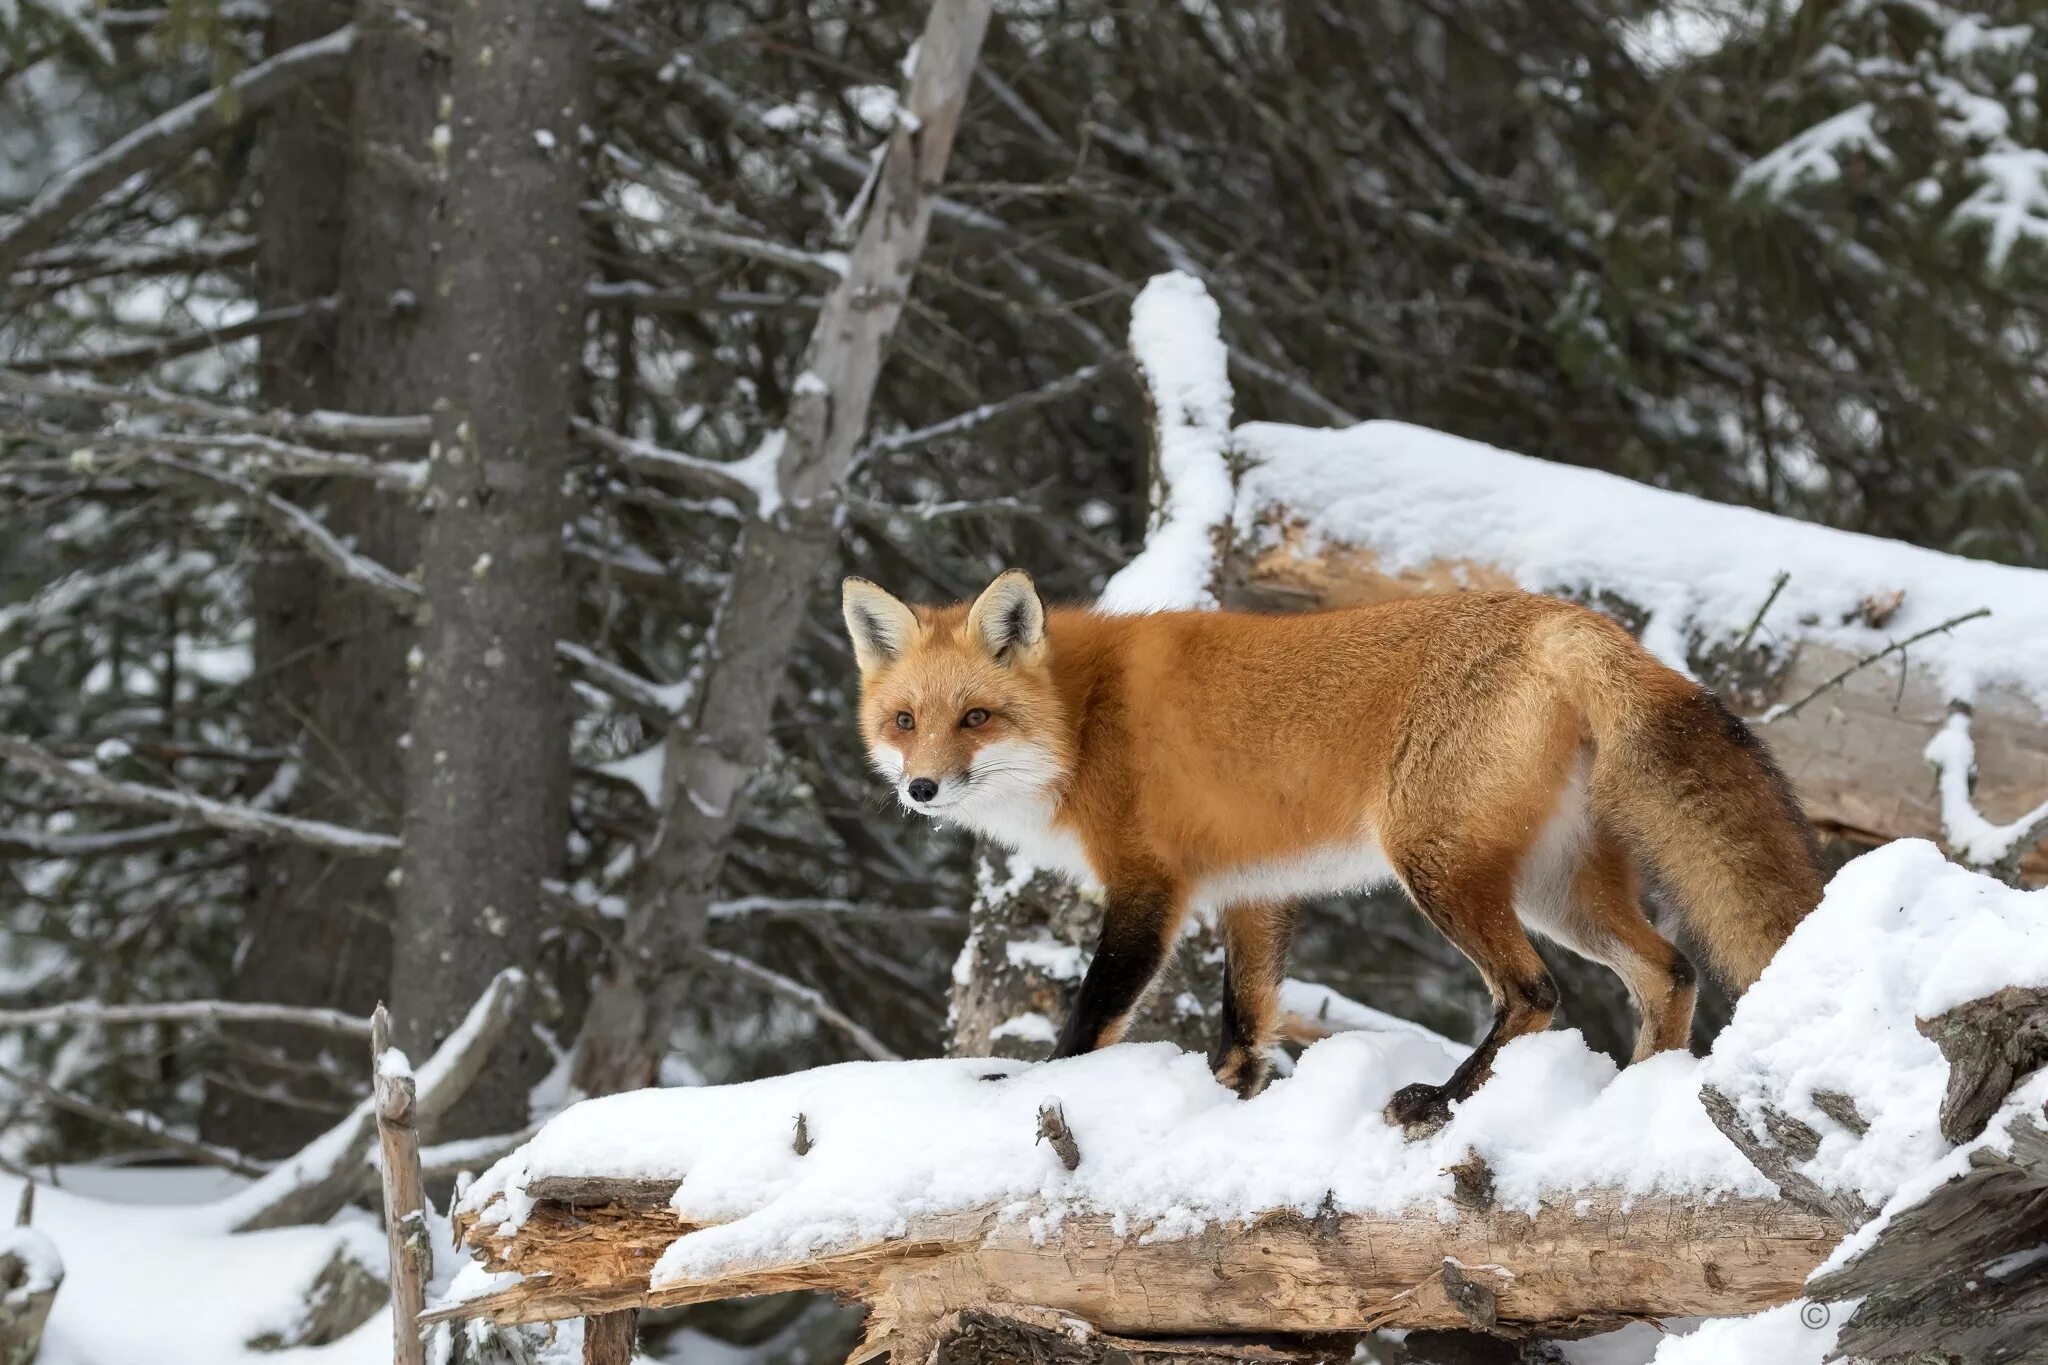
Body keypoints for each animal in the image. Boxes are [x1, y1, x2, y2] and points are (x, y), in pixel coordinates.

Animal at [839, 568, 1835, 1129]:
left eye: (976, 717)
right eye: (904, 721)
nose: (921, 789)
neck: (1086, 719)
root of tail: (1571, 620)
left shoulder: (1149, 885)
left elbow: (1091, 1016)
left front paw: (1034, 1089)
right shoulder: (1252, 889)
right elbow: (1245, 1023)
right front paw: (1230, 1102)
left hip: (1436, 865)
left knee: (1535, 991)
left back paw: (1443, 1099)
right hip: (1557, 888)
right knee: (1669, 971)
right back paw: (1636, 1094)